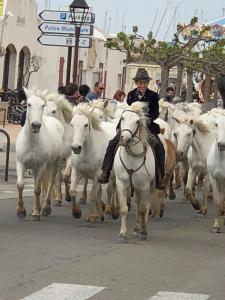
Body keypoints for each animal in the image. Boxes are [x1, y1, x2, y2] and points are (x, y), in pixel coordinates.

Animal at [15, 88, 63, 221]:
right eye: (28, 104)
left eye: (42, 105)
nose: (36, 125)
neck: (32, 143)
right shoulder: (21, 163)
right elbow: (20, 185)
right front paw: (21, 210)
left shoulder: (42, 165)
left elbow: (37, 189)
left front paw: (36, 213)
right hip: (35, 168)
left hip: (55, 162)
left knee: (51, 181)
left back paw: (46, 207)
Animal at [113, 102, 156, 241]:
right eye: (122, 118)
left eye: (137, 121)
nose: (125, 138)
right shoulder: (121, 183)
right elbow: (124, 208)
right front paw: (122, 234)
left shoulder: (144, 185)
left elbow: (143, 209)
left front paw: (143, 232)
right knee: (137, 203)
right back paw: (137, 228)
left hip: (151, 186)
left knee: (146, 205)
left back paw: (143, 228)